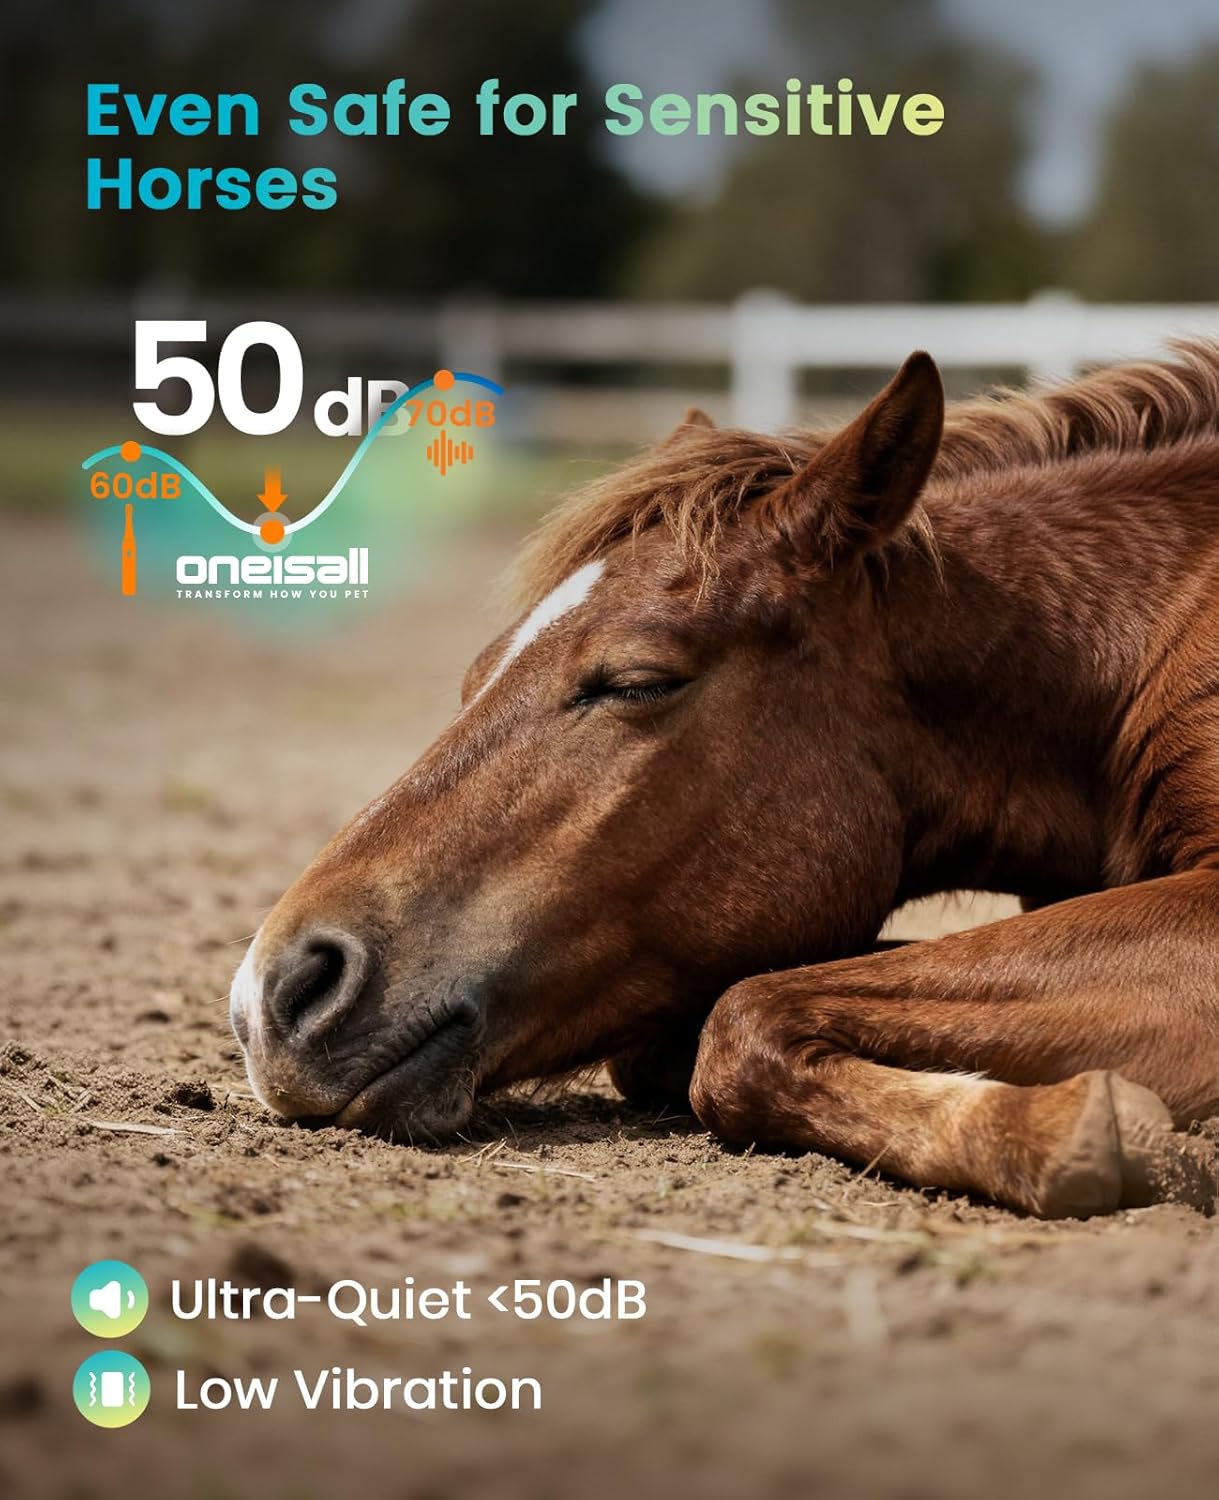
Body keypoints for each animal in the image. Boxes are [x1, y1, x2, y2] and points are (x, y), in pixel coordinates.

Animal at [230, 343, 1219, 1219]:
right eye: (474, 678)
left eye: (637, 682)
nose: (274, 996)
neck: (1125, 644)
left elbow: (744, 1016)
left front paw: (1081, 1127)